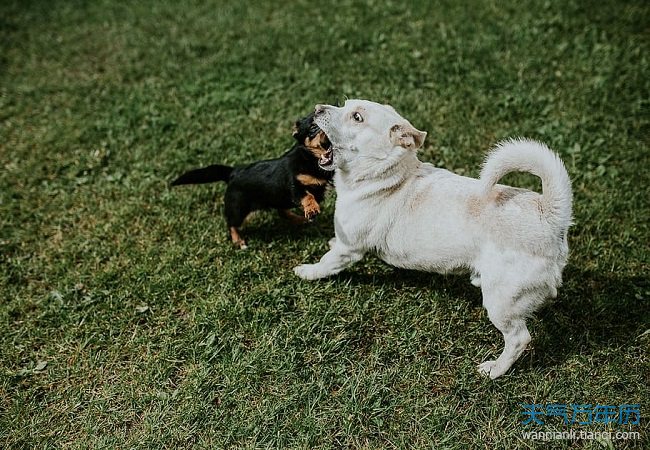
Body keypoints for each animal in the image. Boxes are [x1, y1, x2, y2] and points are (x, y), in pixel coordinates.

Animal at [171, 111, 332, 248]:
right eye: (313, 127)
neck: (311, 158)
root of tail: (233, 172)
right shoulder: (294, 185)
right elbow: (307, 196)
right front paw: (312, 208)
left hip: (276, 198)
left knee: (282, 212)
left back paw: (299, 219)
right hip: (238, 209)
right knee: (231, 224)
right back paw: (238, 241)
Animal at [294, 100, 572, 378]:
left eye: (357, 117)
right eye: (345, 104)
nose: (317, 108)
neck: (385, 175)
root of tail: (548, 213)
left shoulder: (349, 248)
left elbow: (327, 263)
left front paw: (307, 271)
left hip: (500, 300)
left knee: (518, 338)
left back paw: (495, 369)